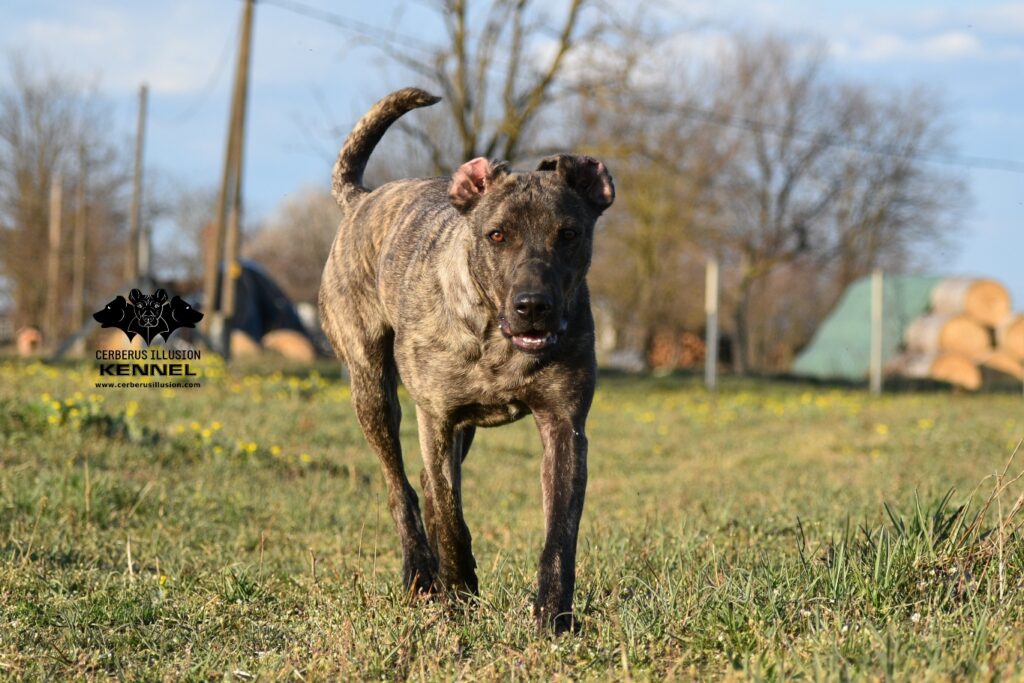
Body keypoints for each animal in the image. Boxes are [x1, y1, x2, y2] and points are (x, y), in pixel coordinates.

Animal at [319, 87, 610, 634]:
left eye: (568, 234)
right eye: (497, 235)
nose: (533, 305)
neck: (498, 339)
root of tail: (362, 198)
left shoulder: (564, 425)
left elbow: (559, 531)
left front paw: (553, 615)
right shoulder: (436, 416)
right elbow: (448, 515)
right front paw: (458, 594)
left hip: (464, 429)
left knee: (428, 485)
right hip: (373, 390)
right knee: (403, 487)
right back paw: (422, 572)